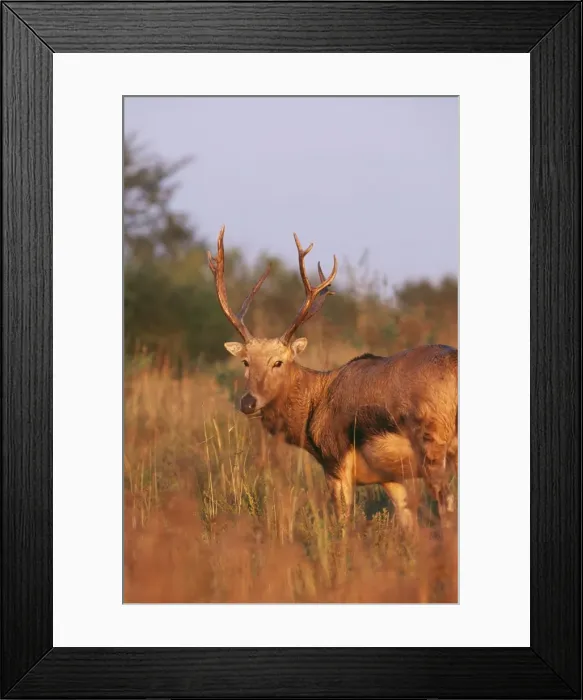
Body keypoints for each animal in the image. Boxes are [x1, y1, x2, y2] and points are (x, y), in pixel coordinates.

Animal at [207, 226, 458, 533]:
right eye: (245, 361)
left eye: (278, 362)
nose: (248, 402)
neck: (315, 404)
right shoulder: (390, 476)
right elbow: (408, 525)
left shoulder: (335, 461)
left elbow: (343, 526)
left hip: (434, 444)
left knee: (447, 508)